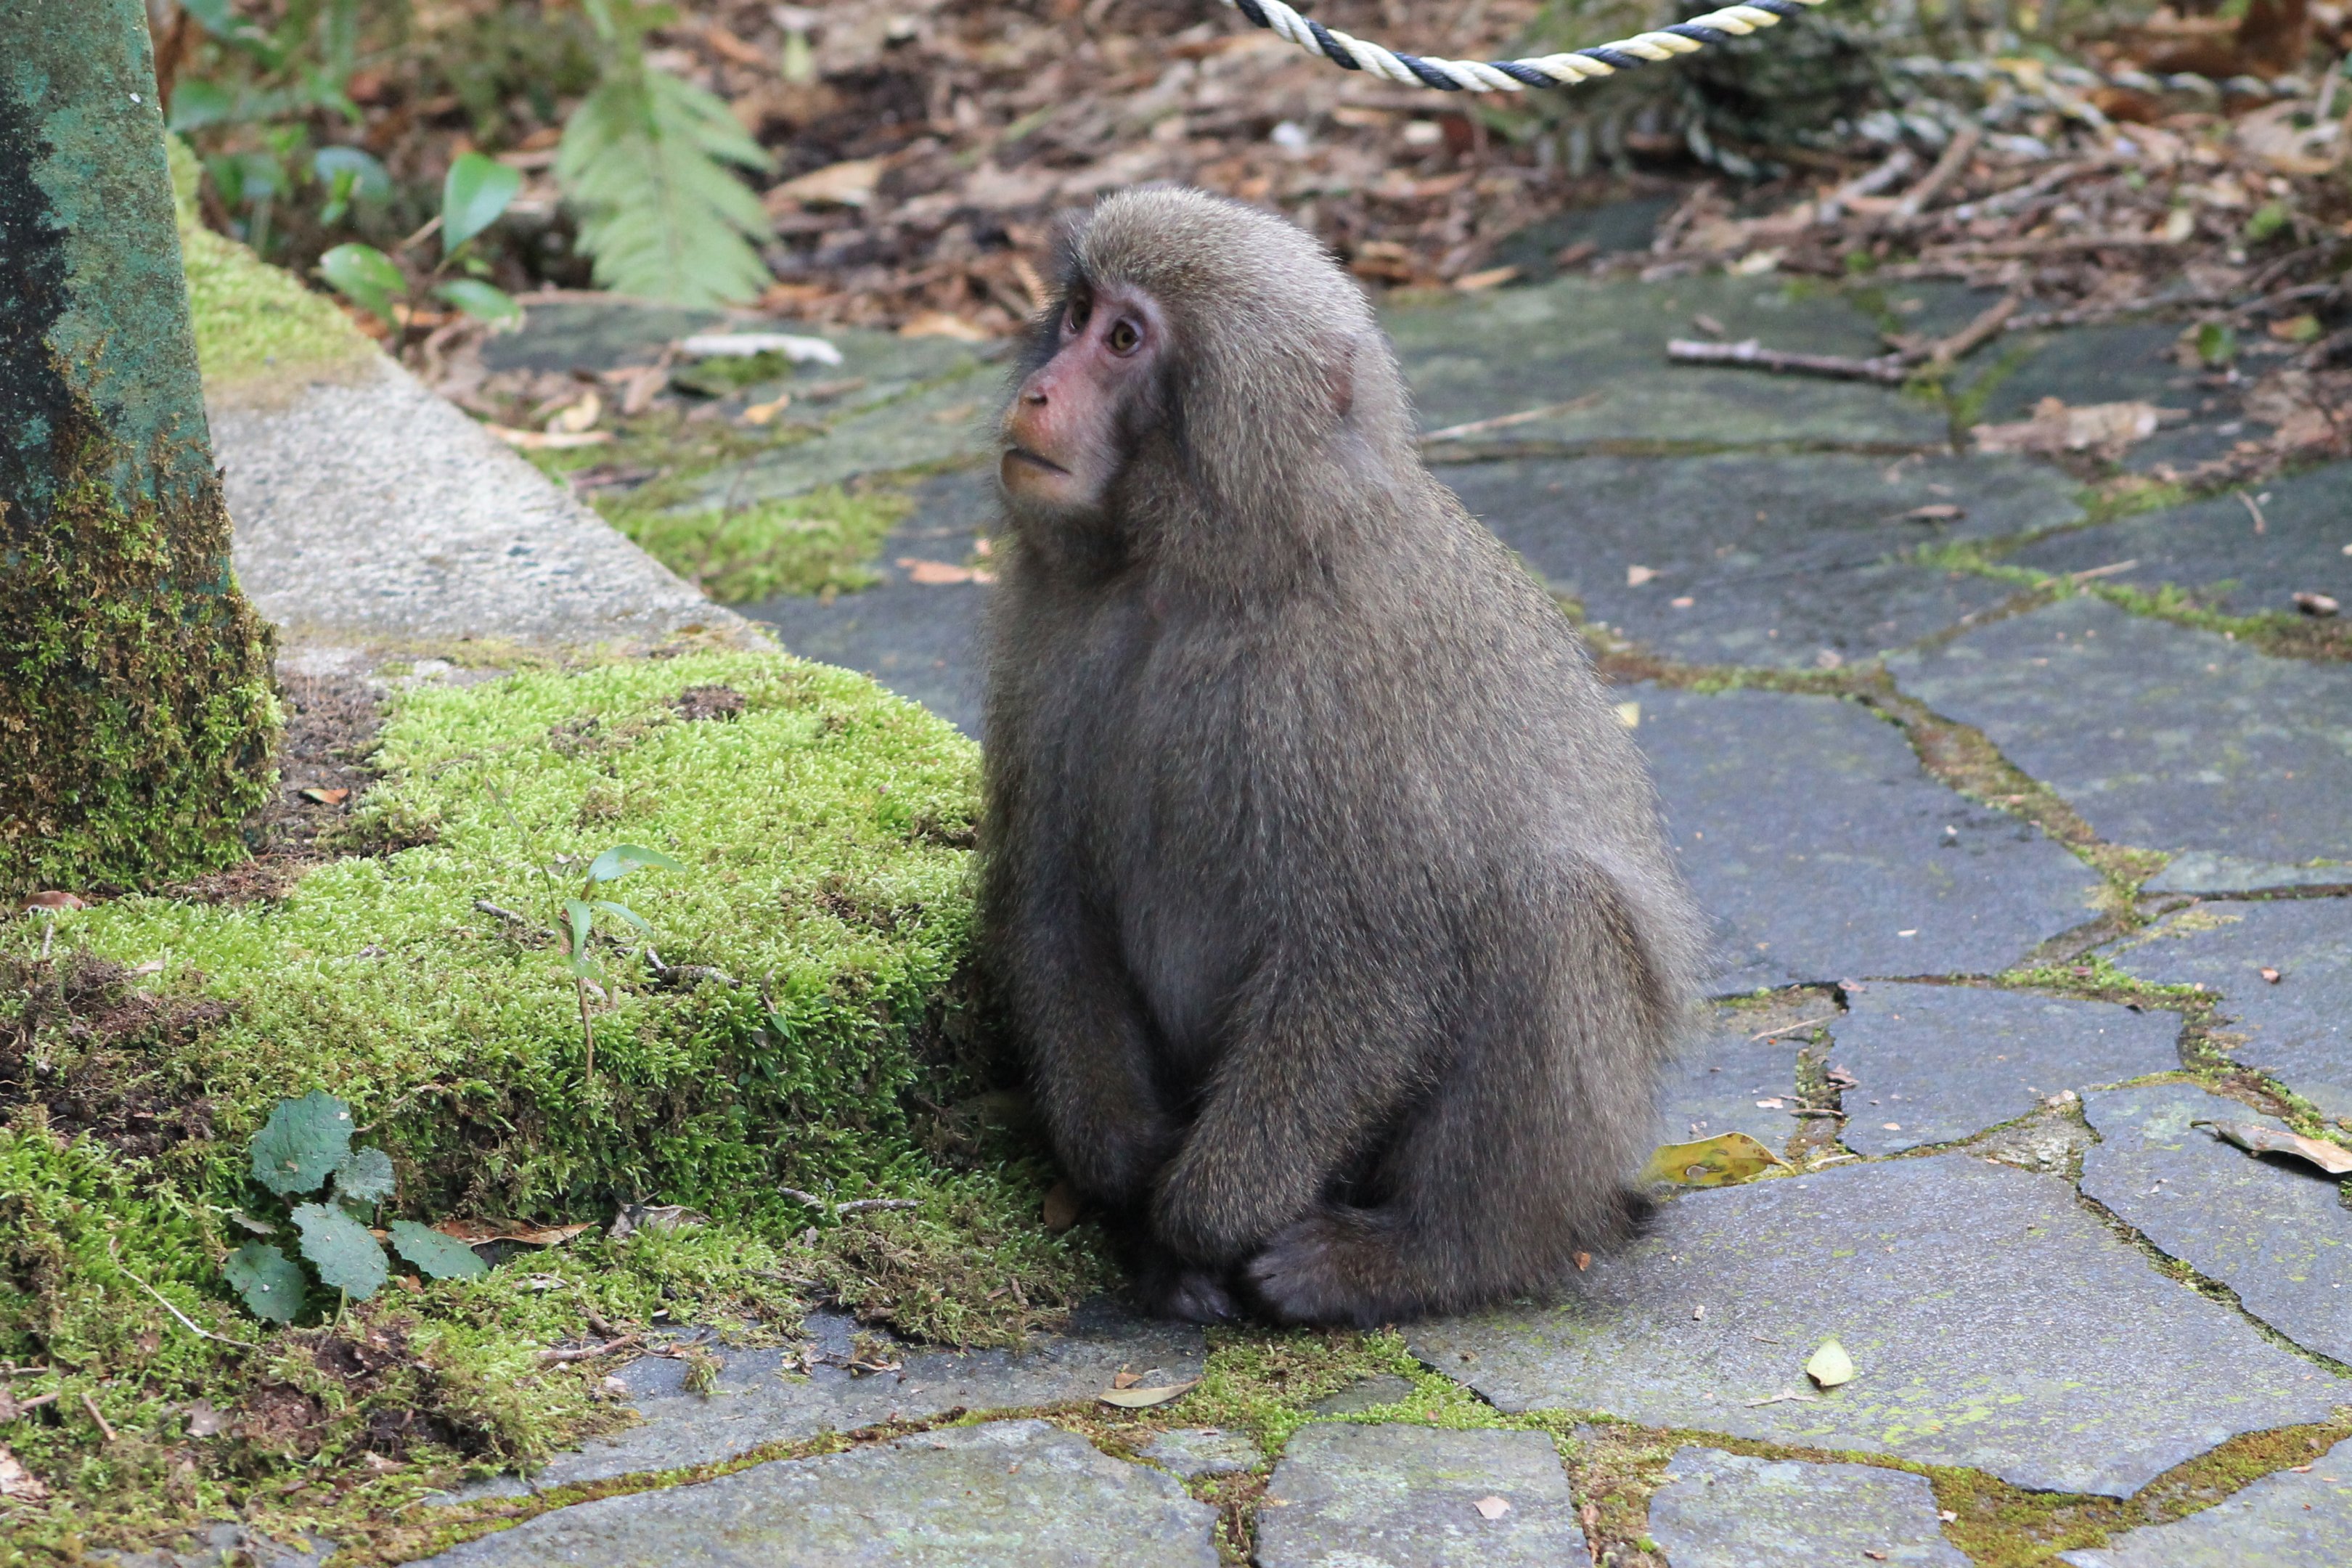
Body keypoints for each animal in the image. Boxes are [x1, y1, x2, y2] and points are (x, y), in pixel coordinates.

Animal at [979, 188, 1709, 1328]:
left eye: (1126, 341)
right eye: (1078, 313)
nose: (1040, 390)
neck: (1199, 573)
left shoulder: (1336, 691)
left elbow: (1364, 959)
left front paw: (1201, 1213)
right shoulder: (1052, 636)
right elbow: (1050, 896)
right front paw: (1125, 1167)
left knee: (1551, 913)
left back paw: (1432, 1255)